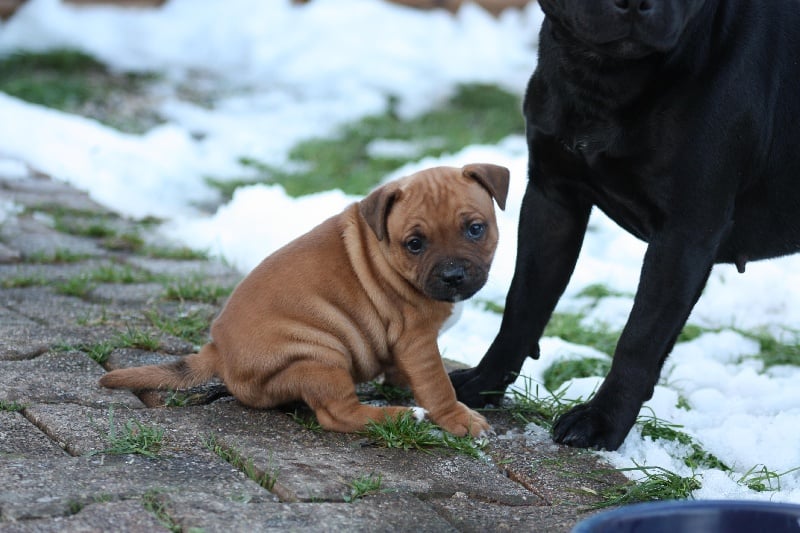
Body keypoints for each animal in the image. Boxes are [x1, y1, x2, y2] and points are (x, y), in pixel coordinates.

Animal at [100, 163, 510, 436]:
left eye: (475, 229)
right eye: (415, 244)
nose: (453, 275)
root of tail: (217, 351)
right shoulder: (417, 339)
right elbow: (437, 385)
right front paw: (459, 419)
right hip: (322, 355)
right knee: (339, 414)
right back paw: (401, 416)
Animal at [454, 0, 800, 448]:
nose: (635, 1)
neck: (605, 78)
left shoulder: (685, 233)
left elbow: (640, 335)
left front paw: (603, 421)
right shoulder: (552, 198)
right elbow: (524, 302)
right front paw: (483, 383)